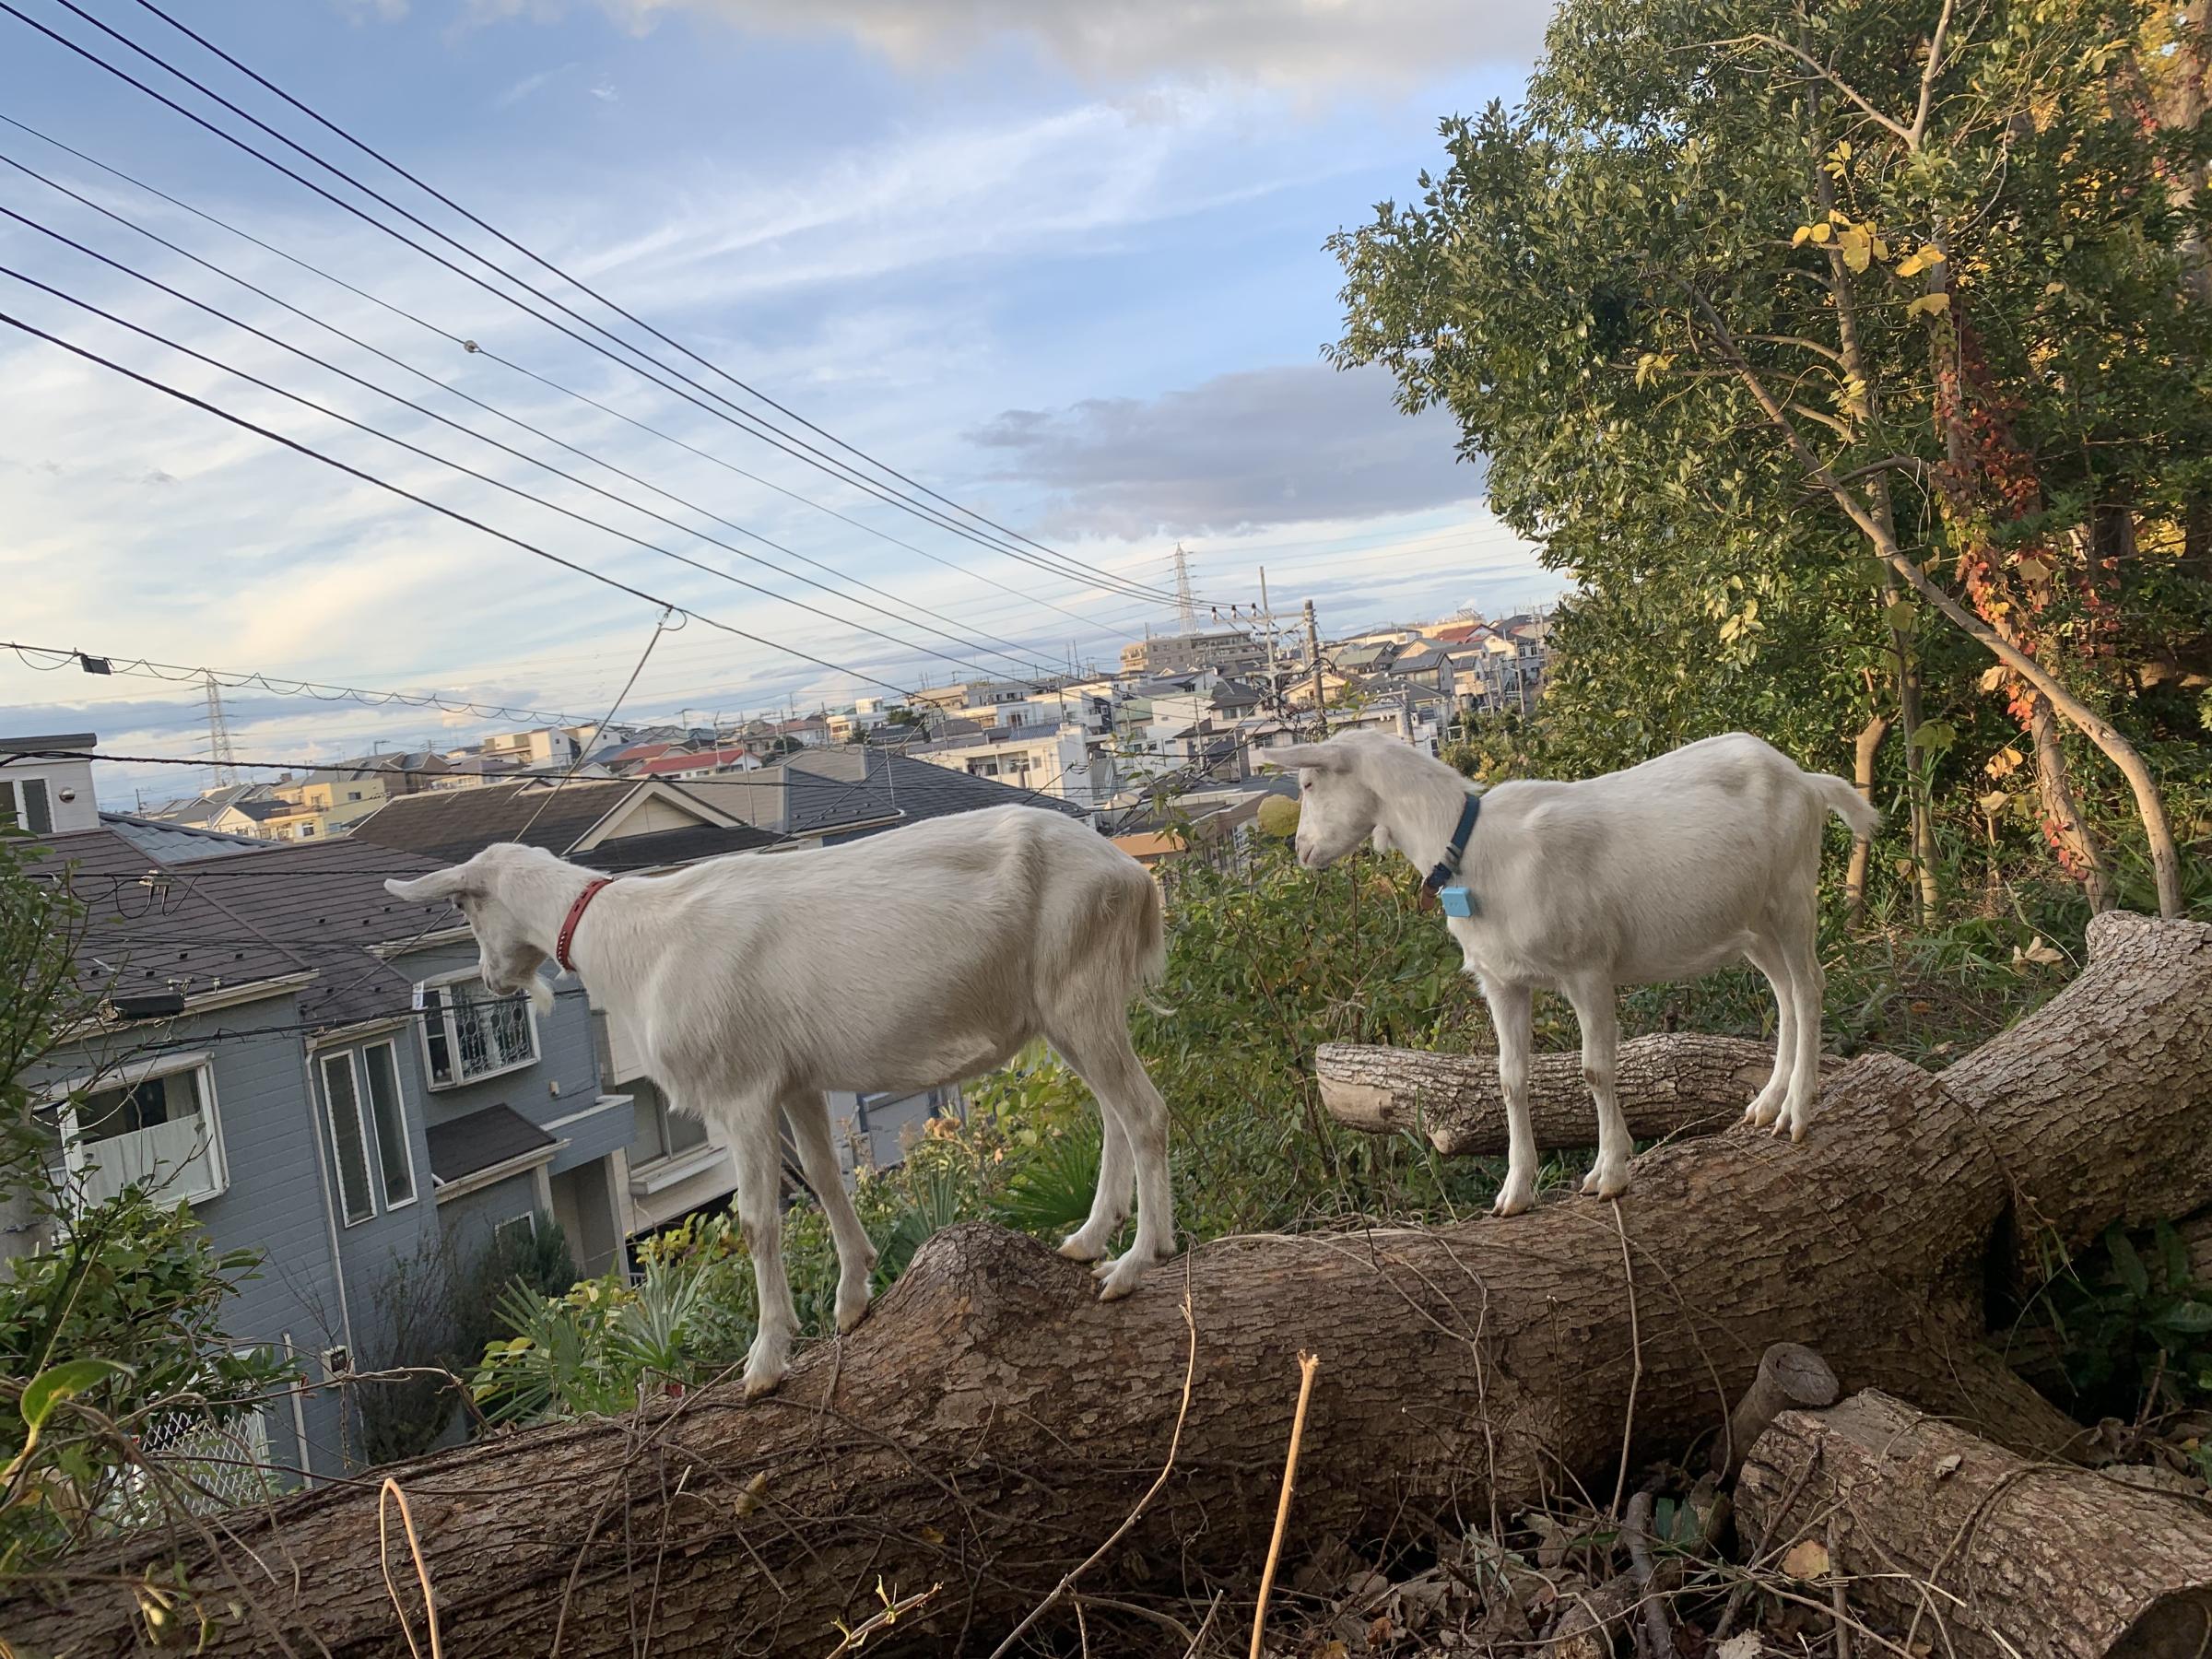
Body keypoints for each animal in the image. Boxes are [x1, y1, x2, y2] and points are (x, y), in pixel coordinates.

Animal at [384, 814, 1176, 1397]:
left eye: (461, 904)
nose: (489, 979)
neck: (638, 942)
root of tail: (1133, 876)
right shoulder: (796, 1080)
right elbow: (826, 1179)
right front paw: (853, 1300)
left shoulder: (739, 1090)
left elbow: (758, 1221)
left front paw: (765, 1362)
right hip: (1068, 1011)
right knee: (1113, 1114)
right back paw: (1089, 1239)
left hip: (1078, 993)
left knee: (1143, 1114)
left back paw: (1138, 1264)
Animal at [1274, 734, 1876, 1212]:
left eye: (1308, 782)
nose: (1301, 850)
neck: (1476, 850)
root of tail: (1803, 779)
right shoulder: (1502, 982)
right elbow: (1510, 1079)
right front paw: (1515, 1192)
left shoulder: (1587, 968)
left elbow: (1596, 1070)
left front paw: (1609, 1173)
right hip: (1752, 923)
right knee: (1785, 994)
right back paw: (1767, 1103)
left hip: (1791, 895)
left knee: (1809, 987)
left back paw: (1796, 1111)